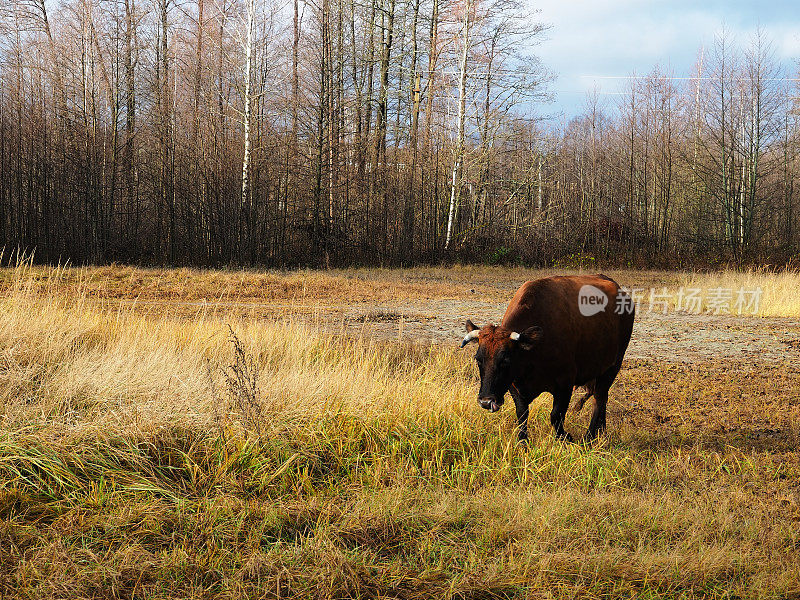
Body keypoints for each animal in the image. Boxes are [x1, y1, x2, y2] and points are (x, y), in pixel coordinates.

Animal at [460, 274, 636, 442]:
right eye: (478, 359)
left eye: (505, 361)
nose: (485, 401)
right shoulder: (514, 385)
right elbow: (522, 415)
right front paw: (523, 443)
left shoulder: (565, 383)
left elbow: (556, 416)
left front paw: (566, 437)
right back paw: (601, 430)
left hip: (614, 364)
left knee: (599, 398)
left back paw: (590, 436)